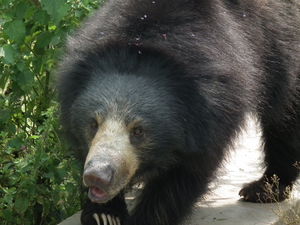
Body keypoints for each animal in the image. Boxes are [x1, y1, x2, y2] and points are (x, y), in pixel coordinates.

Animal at [57, 0, 300, 225]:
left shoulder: (212, 109)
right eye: (93, 124)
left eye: (138, 131)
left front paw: (145, 218)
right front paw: (103, 214)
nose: (97, 177)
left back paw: (264, 189)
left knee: (285, 116)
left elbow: (185, 172)